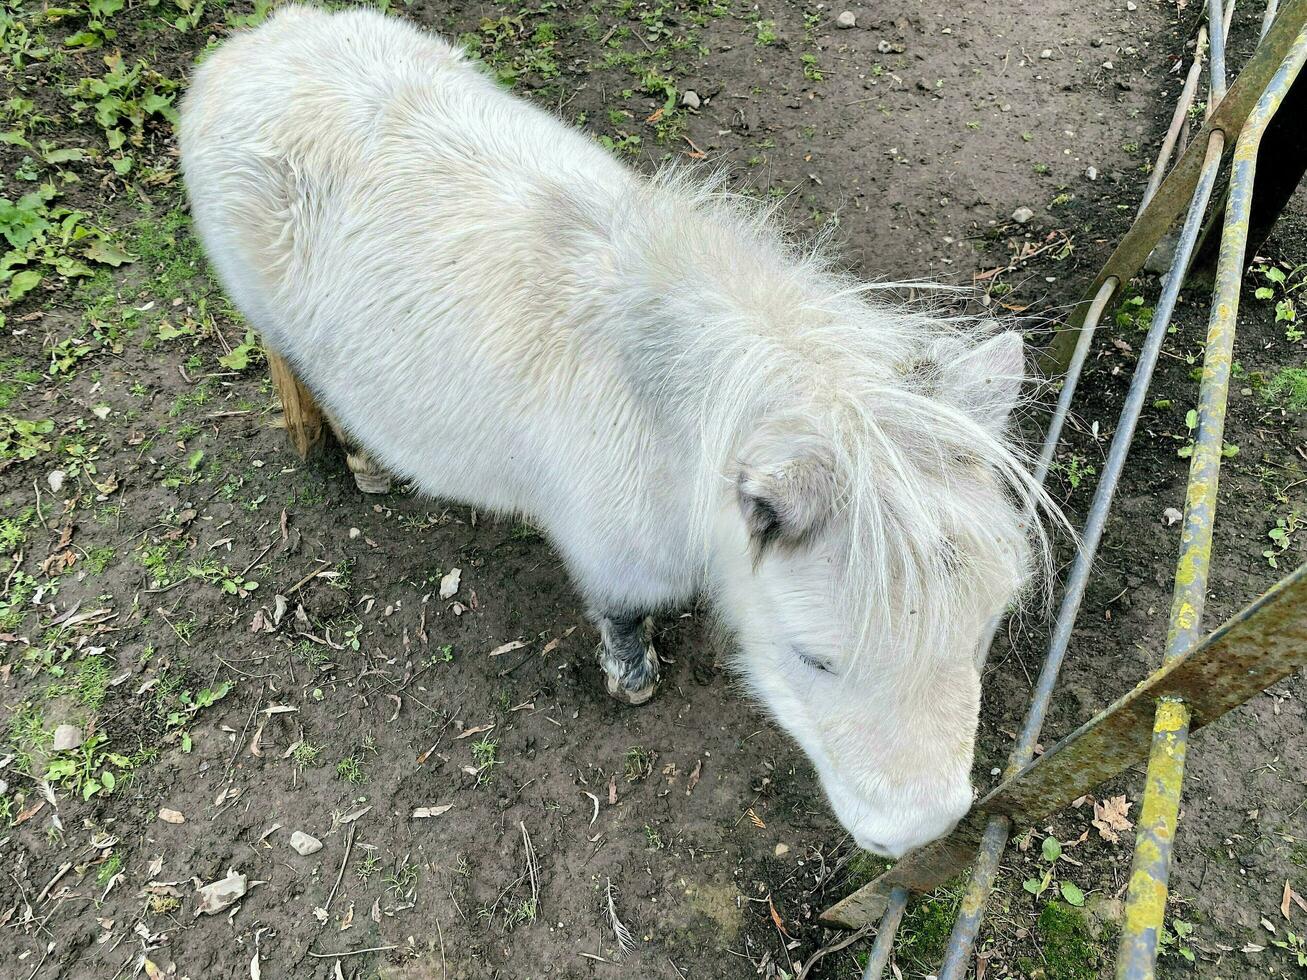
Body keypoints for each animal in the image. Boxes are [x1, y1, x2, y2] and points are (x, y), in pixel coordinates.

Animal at [179, 5, 1050, 857]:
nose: (917, 834)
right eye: (815, 659)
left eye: (985, 630)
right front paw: (633, 680)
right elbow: (622, 615)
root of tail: (240, 54)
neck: (667, 414)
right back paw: (364, 461)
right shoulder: (612, 552)